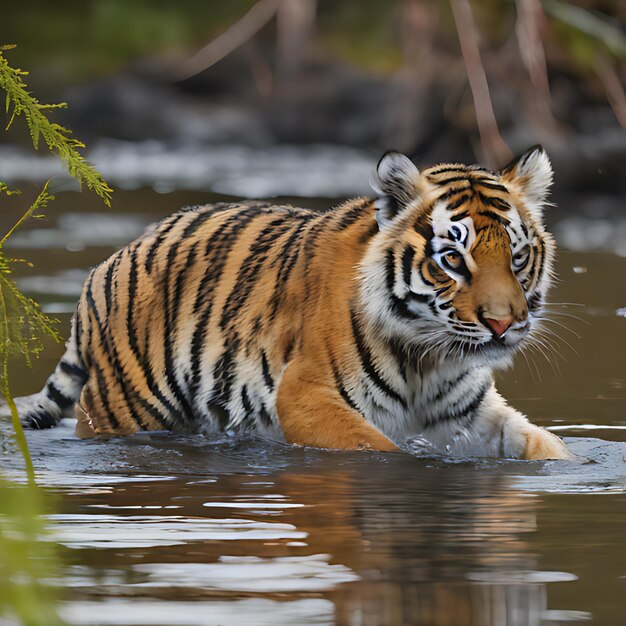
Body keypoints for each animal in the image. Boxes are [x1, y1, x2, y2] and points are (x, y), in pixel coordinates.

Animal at [13, 145, 572, 458]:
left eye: (518, 257)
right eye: (453, 259)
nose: (503, 325)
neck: (427, 360)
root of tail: (110, 261)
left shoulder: (468, 413)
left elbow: (545, 446)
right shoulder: (305, 397)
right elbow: (381, 448)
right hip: (124, 409)